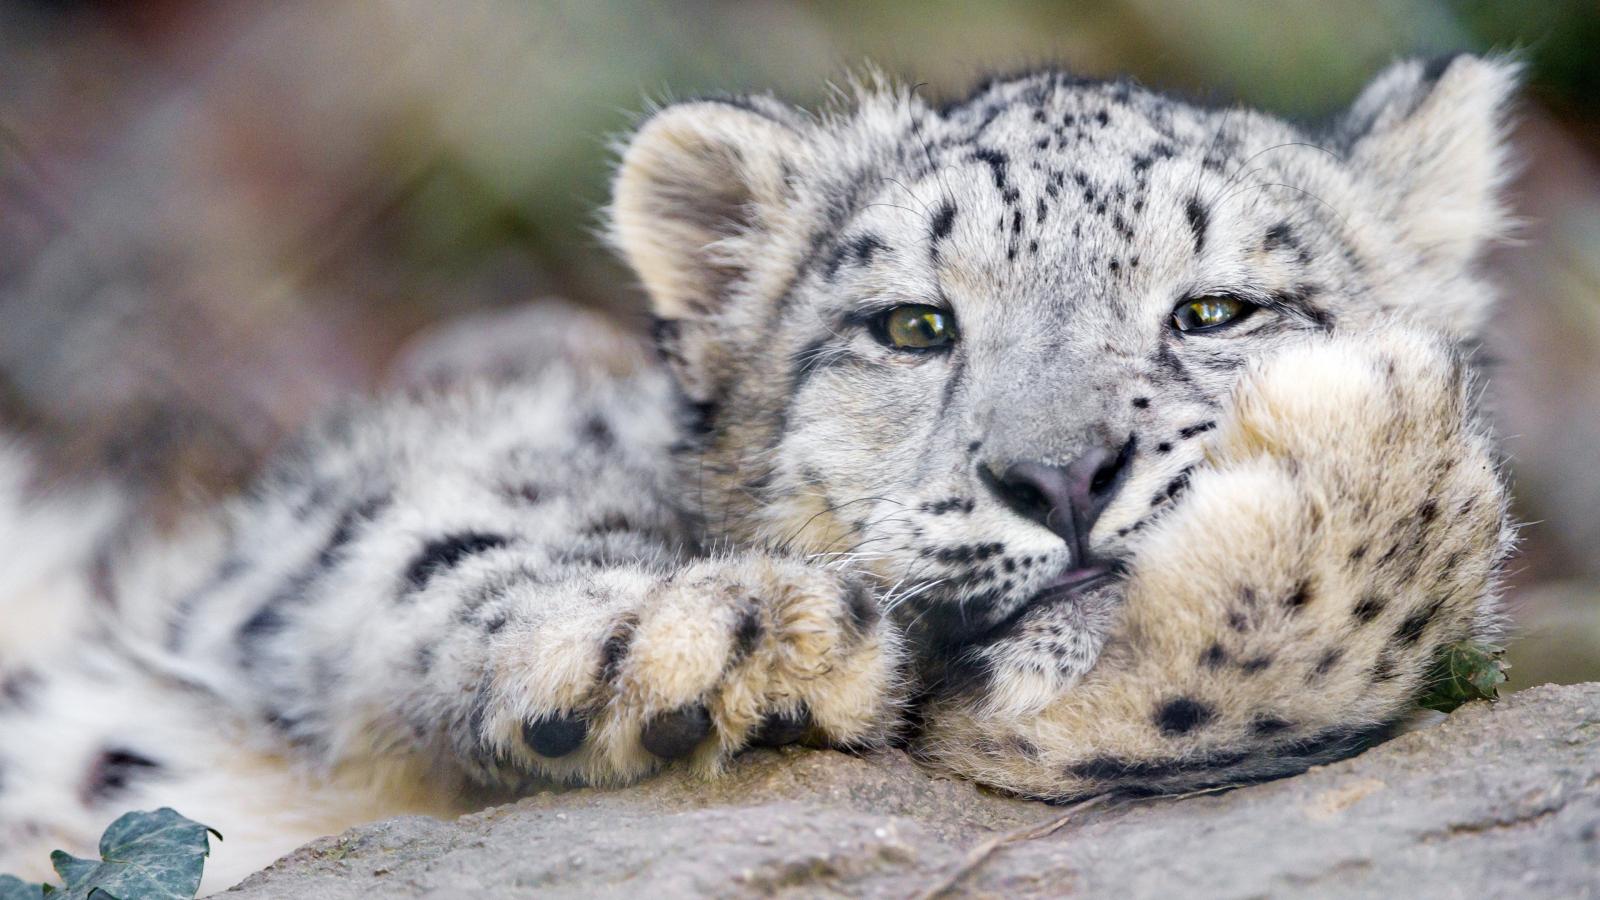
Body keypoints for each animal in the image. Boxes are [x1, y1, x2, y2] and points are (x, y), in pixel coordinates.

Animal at [0, 54, 1517, 892]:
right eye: (914, 325)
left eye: (1215, 310)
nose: (1063, 475)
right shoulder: (331, 526)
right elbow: (435, 539)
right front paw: (706, 640)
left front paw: (1374, 452)